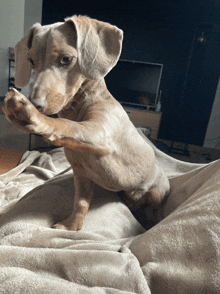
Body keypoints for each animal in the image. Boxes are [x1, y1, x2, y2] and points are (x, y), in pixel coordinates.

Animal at [2, 14, 170, 231]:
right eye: (31, 61)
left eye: (66, 59)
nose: (36, 104)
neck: (79, 108)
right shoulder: (82, 176)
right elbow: (81, 202)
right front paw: (71, 226)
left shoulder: (99, 134)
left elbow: (66, 125)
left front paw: (33, 116)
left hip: (157, 192)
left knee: (156, 210)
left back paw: (153, 222)